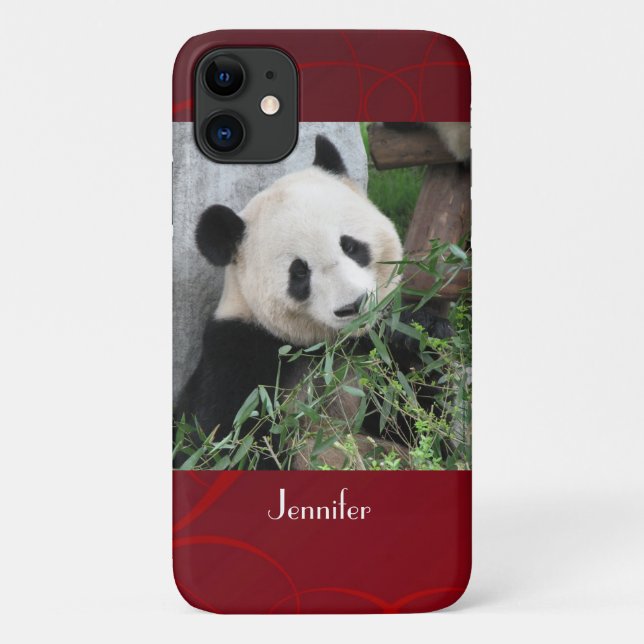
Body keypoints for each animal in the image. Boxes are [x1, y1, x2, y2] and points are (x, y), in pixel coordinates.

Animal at [174, 136, 451, 469]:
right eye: (299, 272)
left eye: (350, 246)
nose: (353, 306)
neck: (327, 346)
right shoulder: (239, 355)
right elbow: (226, 445)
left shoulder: (371, 355)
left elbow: (419, 426)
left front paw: (418, 333)